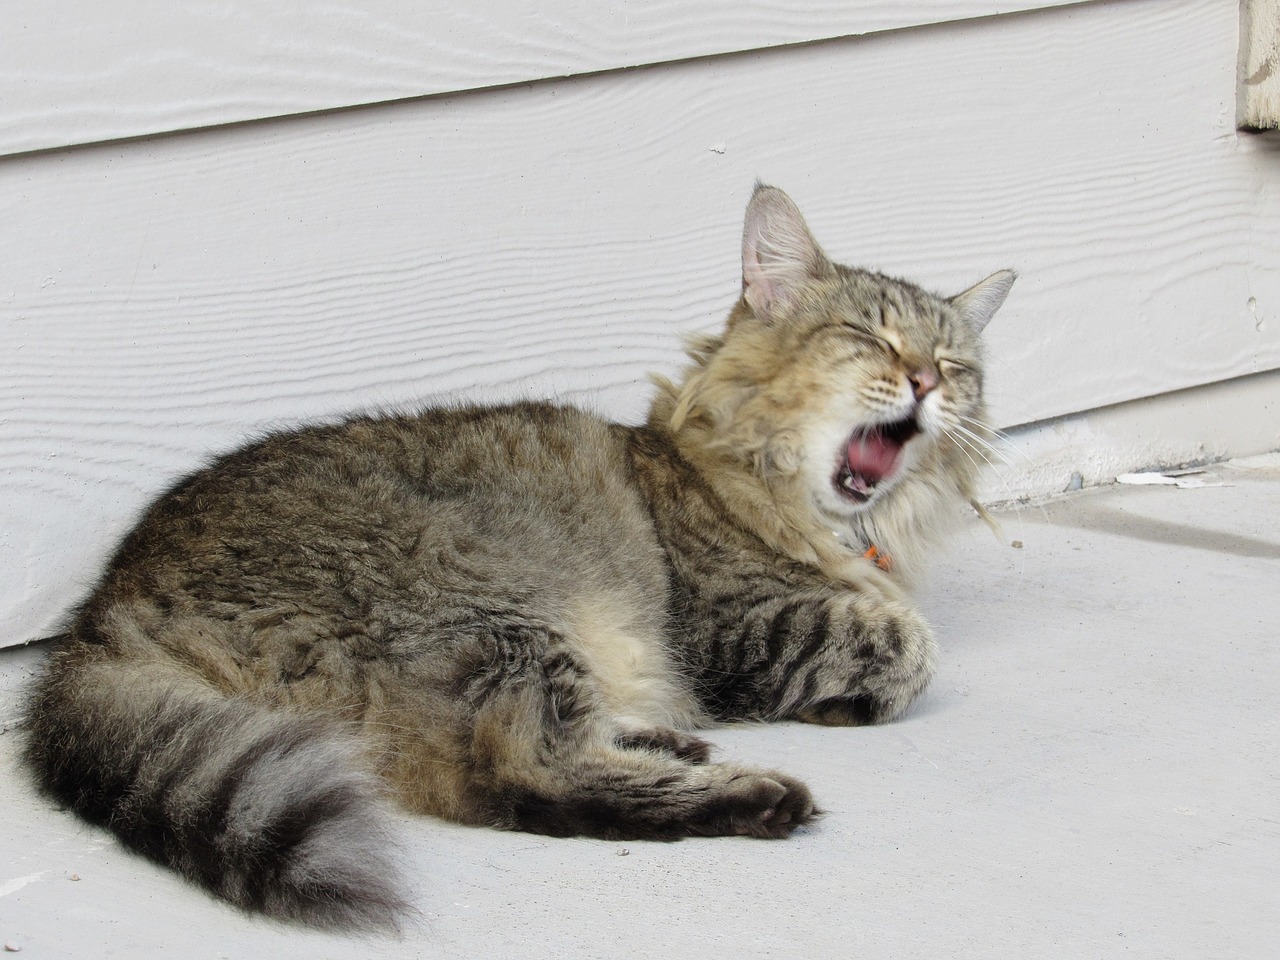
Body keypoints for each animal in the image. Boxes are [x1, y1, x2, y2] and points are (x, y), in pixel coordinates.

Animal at [20, 185, 1013, 931]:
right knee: (520, 778)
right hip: (492, 616)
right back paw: (751, 795)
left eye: (956, 365)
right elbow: (906, 644)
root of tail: (102, 611)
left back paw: (668, 740)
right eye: (870, 338)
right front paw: (865, 679)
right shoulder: (737, 626)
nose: (926, 382)